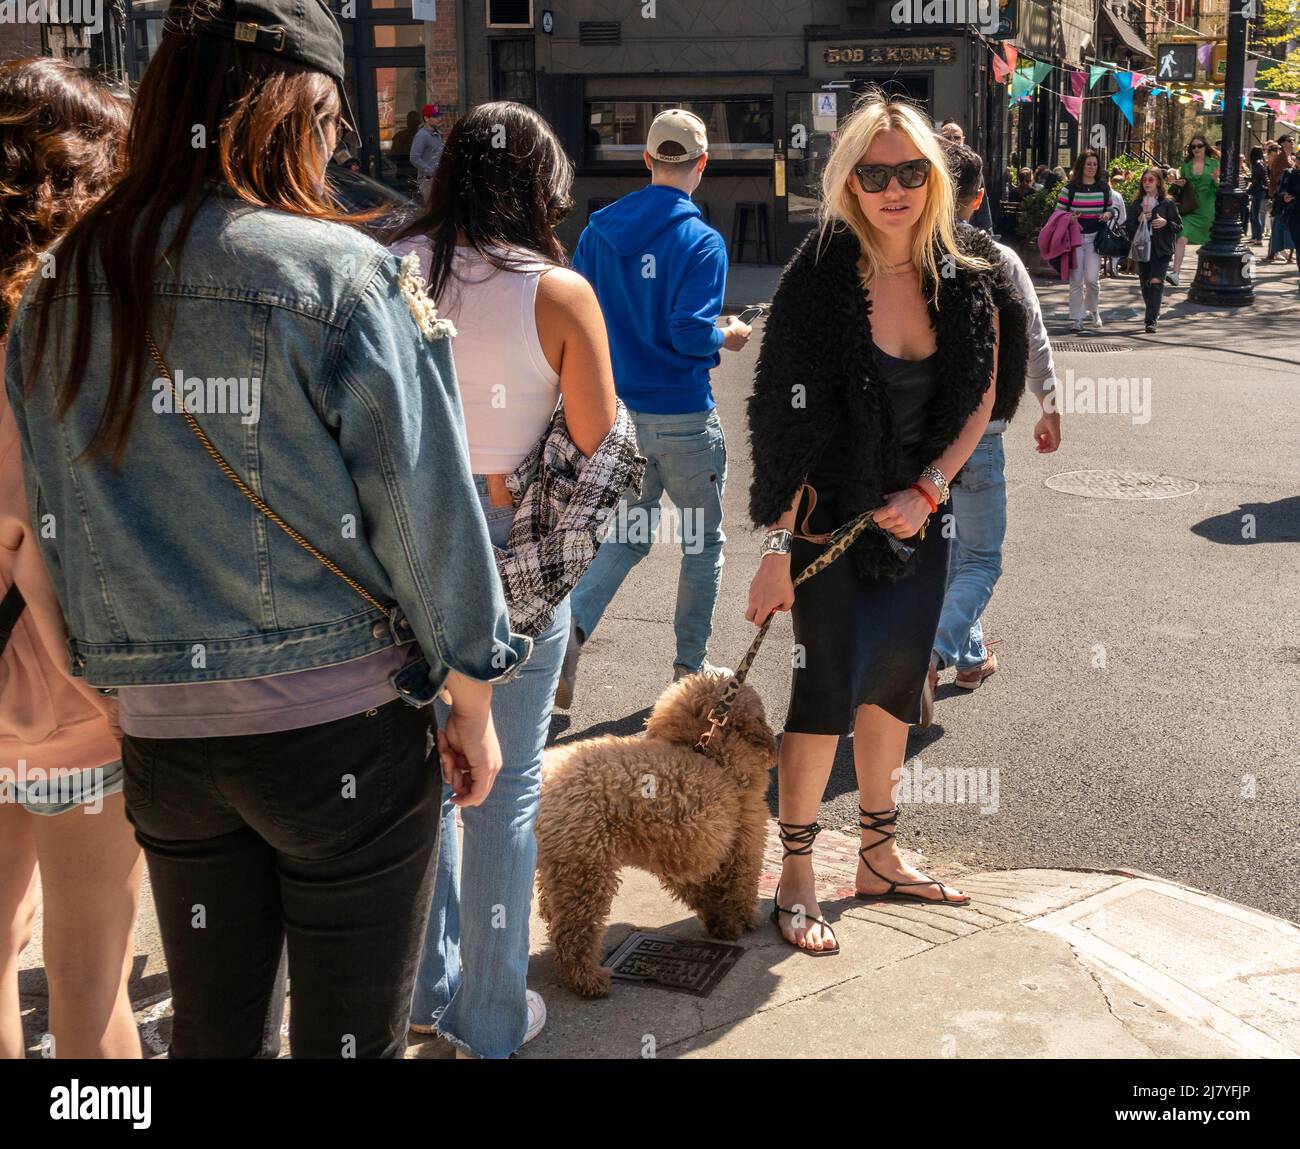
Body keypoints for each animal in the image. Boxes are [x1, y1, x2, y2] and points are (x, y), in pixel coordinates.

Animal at [535, 670, 774, 998]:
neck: (708, 754)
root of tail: (545, 777)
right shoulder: (740, 842)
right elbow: (740, 887)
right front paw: (743, 920)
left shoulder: (684, 853)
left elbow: (704, 891)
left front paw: (721, 923)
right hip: (586, 867)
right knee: (573, 932)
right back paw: (588, 979)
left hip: (560, 863)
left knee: (553, 910)